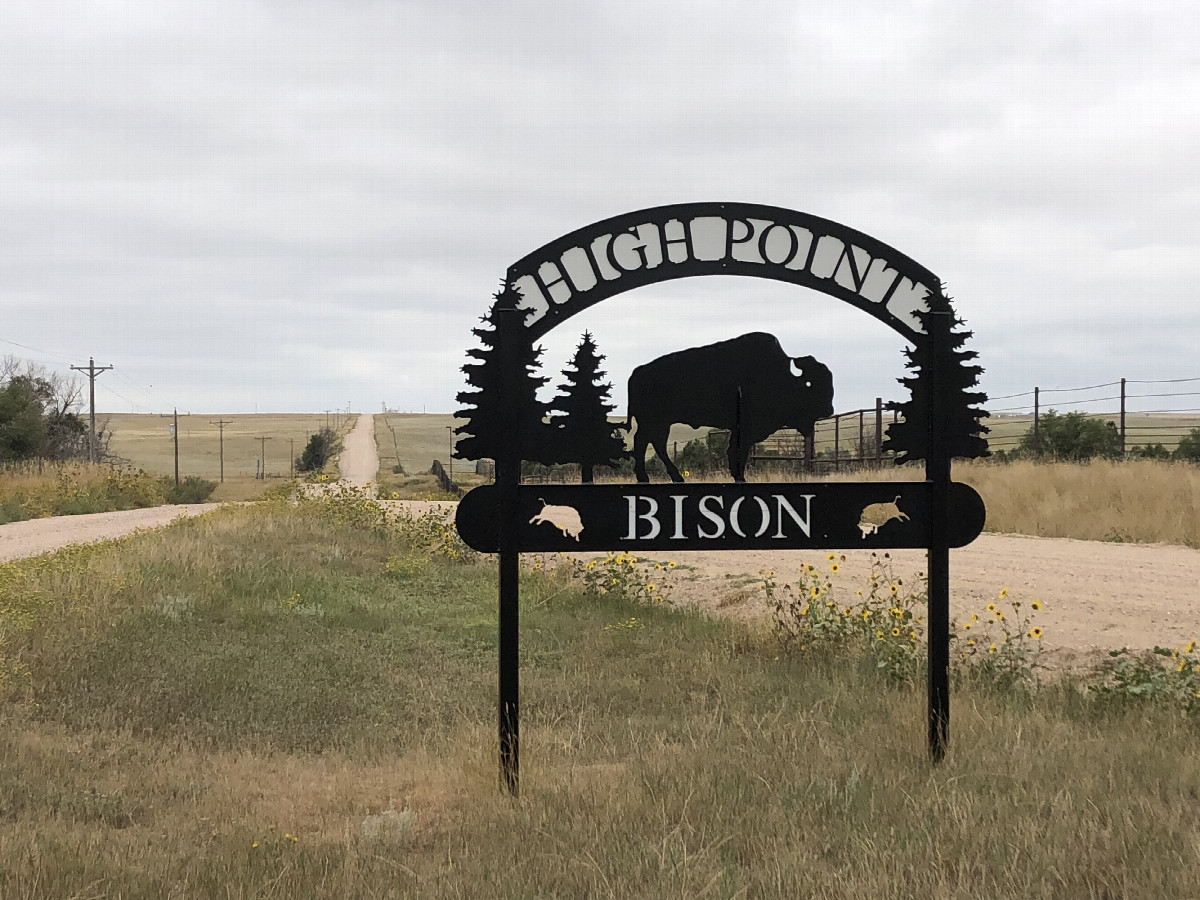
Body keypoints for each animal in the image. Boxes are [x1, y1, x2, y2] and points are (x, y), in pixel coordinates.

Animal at [628, 333, 835, 487]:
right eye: (810, 384)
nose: (828, 409)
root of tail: (636, 373)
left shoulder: (739, 430)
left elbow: (735, 452)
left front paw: (738, 477)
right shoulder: (745, 429)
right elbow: (738, 452)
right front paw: (740, 478)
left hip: (661, 423)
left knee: (653, 444)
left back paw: (672, 478)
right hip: (655, 422)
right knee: (645, 442)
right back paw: (650, 478)